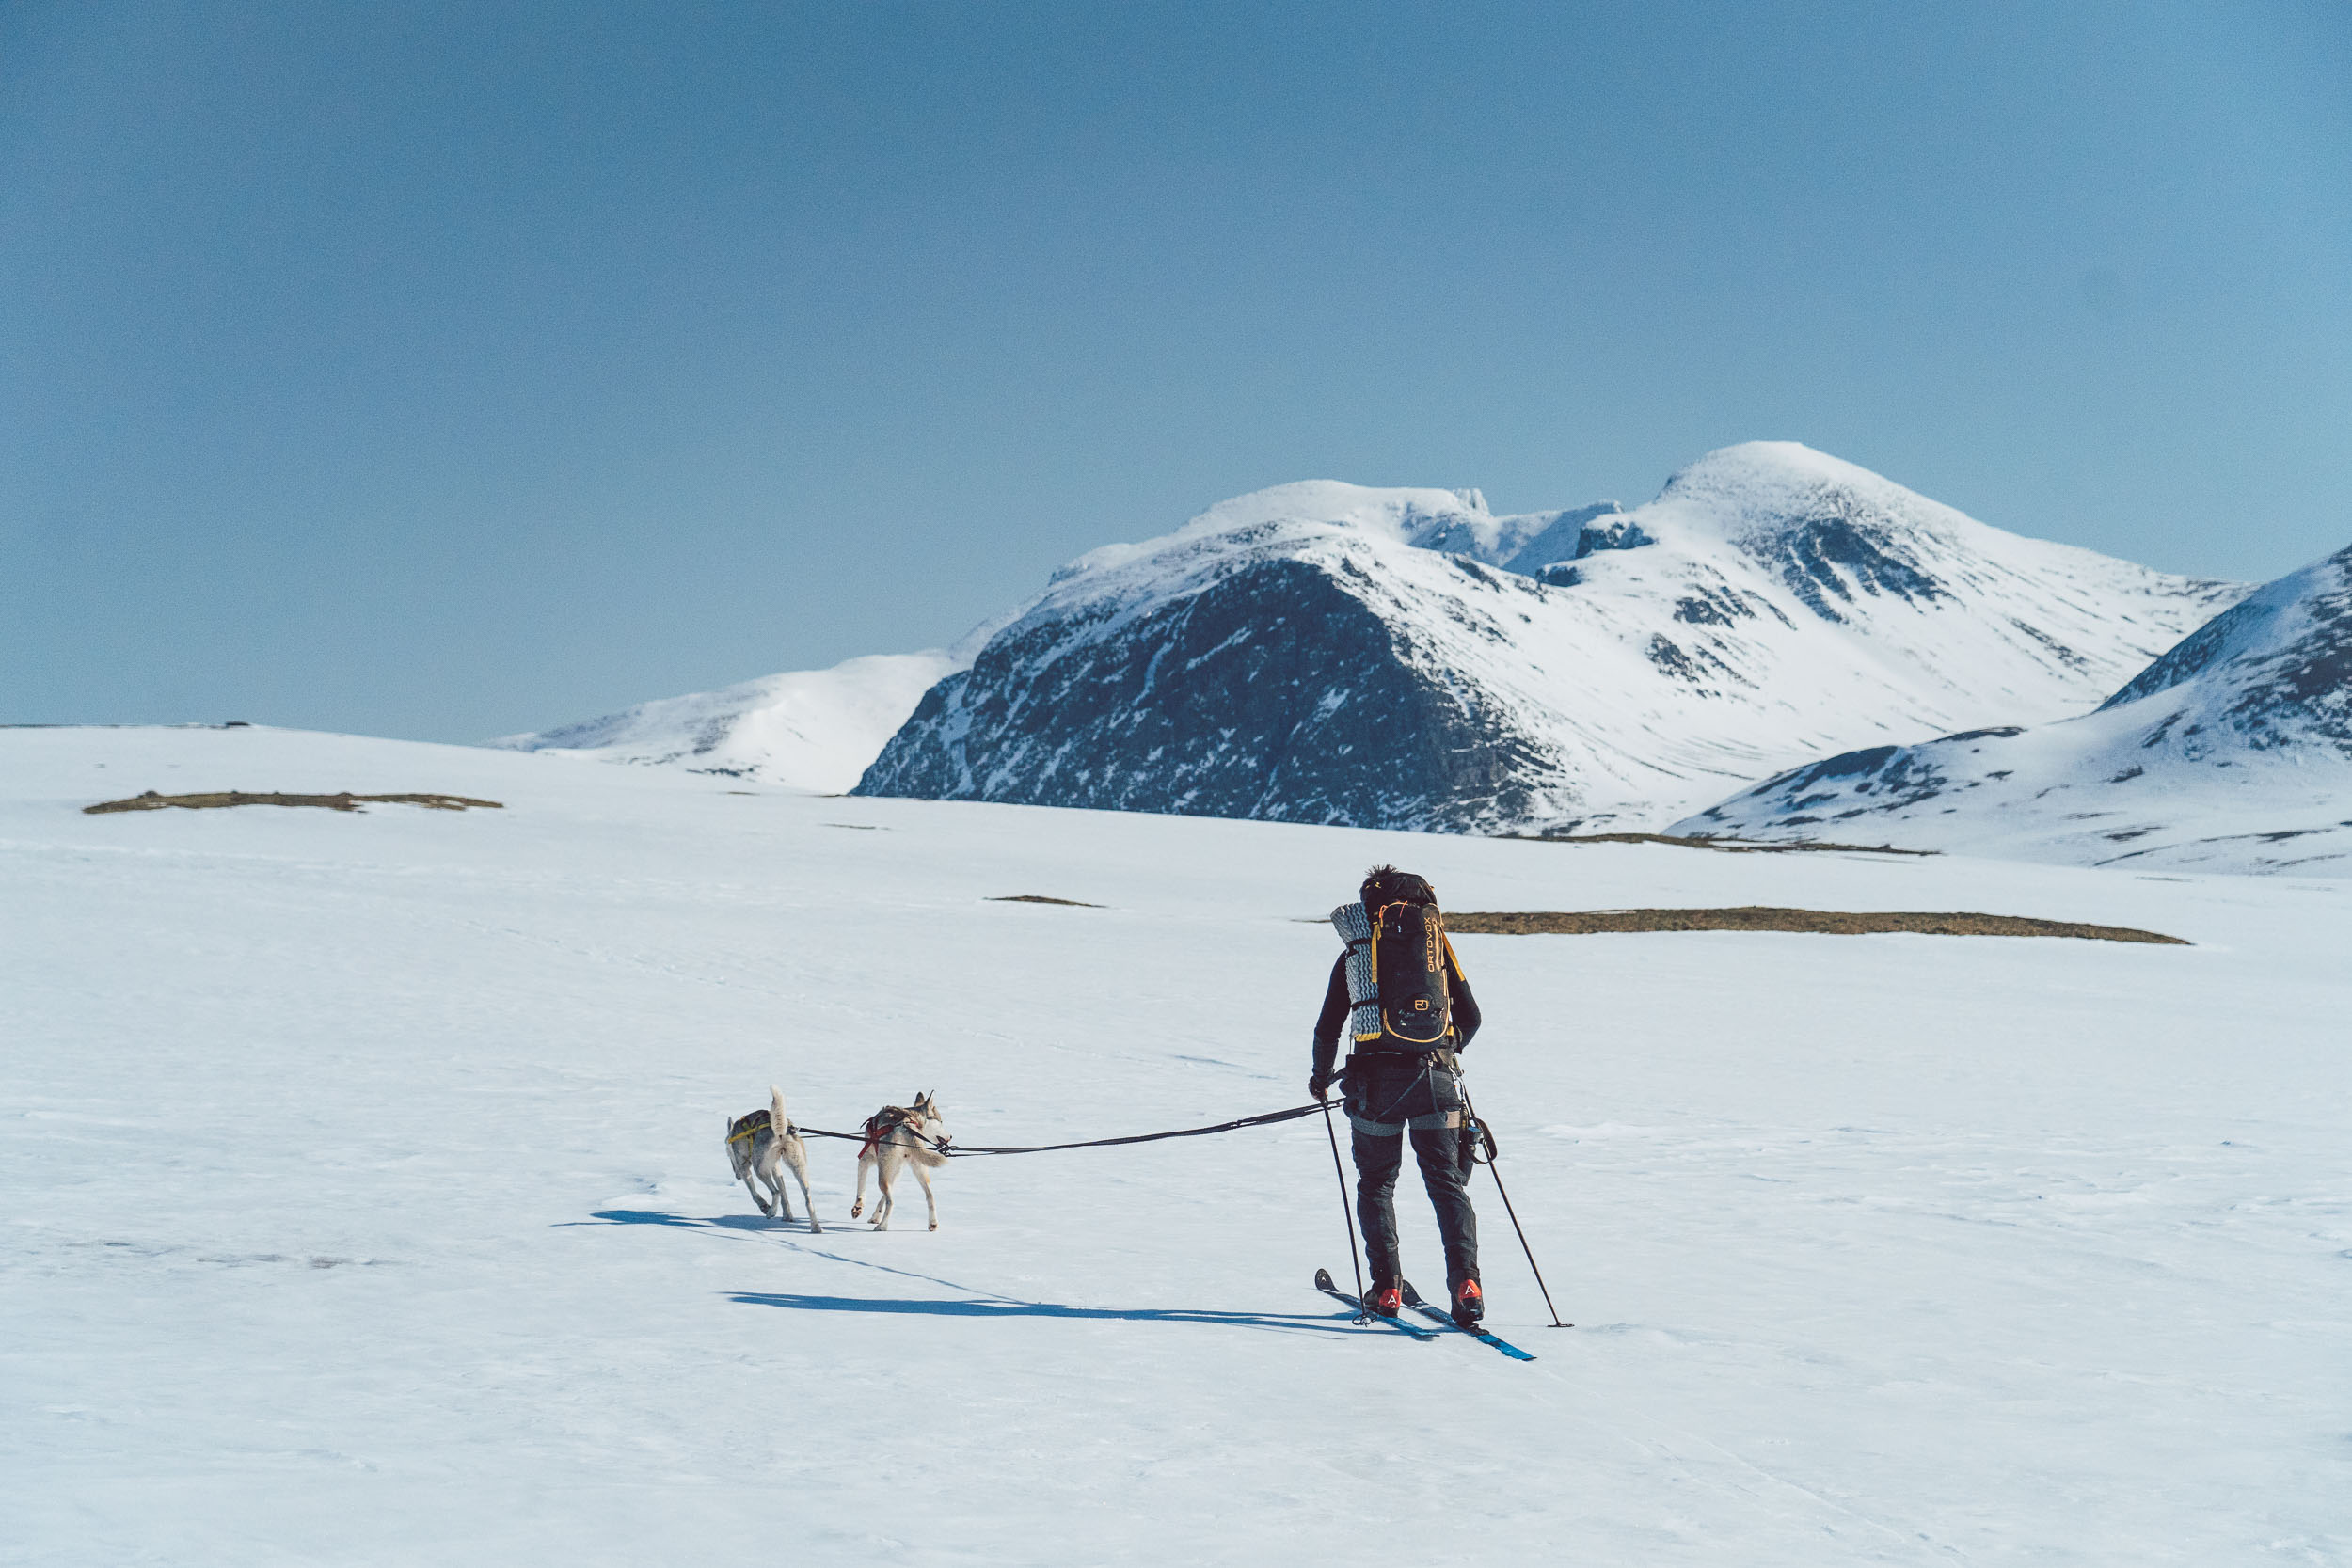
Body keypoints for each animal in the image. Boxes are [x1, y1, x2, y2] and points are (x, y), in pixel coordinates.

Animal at [720, 1085, 823, 1231]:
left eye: (729, 1156)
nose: (737, 1176)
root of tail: (781, 1130)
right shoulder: (776, 1168)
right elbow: (785, 1196)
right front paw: (787, 1216)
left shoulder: (744, 1167)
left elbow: (754, 1194)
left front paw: (764, 1206)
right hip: (798, 1167)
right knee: (807, 1199)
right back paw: (815, 1227)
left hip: (759, 1169)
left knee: (776, 1192)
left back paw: (770, 1212)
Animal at [851, 1090, 950, 1222]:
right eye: (941, 1121)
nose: (951, 1136)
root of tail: (905, 1125)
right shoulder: (897, 1169)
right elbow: (883, 1196)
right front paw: (876, 1215)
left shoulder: (865, 1159)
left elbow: (861, 1189)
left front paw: (858, 1207)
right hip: (918, 1168)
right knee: (929, 1195)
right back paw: (933, 1223)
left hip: (884, 1171)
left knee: (891, 1201)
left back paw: (882, 1225)